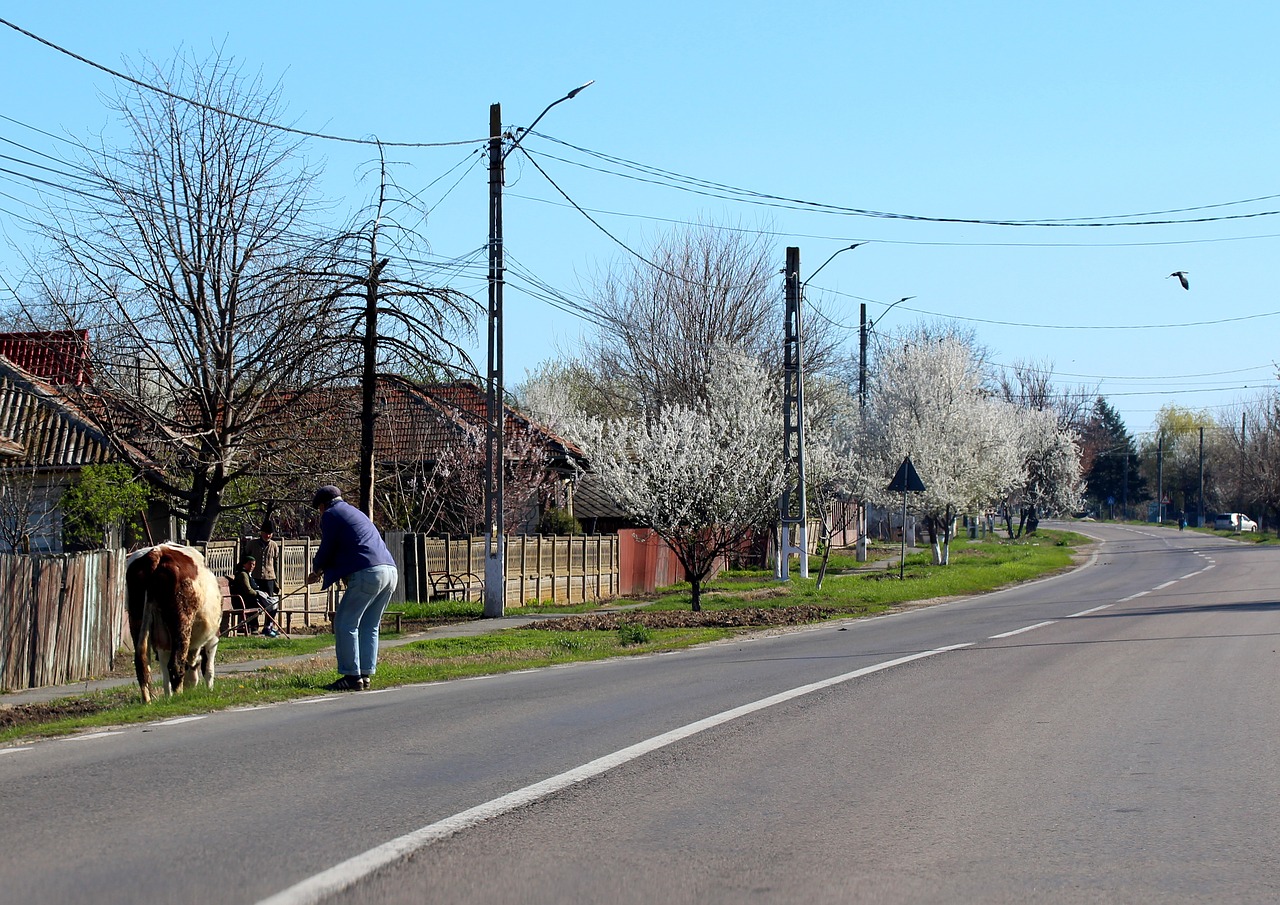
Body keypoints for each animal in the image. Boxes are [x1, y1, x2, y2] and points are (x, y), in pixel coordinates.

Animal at [124, 542, 222, 706]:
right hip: (182, 619)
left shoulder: (163, 643)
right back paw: (178, 697)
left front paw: (167, 696)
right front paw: (210, 691)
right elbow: (208, 668)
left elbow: (164, 671)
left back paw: (147, 700)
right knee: (176, 665)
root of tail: (157, 552)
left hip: (136, 616)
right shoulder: (213, 637)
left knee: (142, 663)